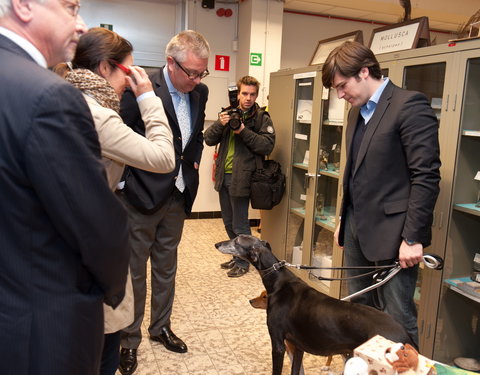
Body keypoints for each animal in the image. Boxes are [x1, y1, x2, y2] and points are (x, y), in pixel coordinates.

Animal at [216, 235, 414, 375]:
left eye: (237, 240)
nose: (217, 244)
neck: (278, 279)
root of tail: (406, 337)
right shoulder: (297, 347)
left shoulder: (278, 345)